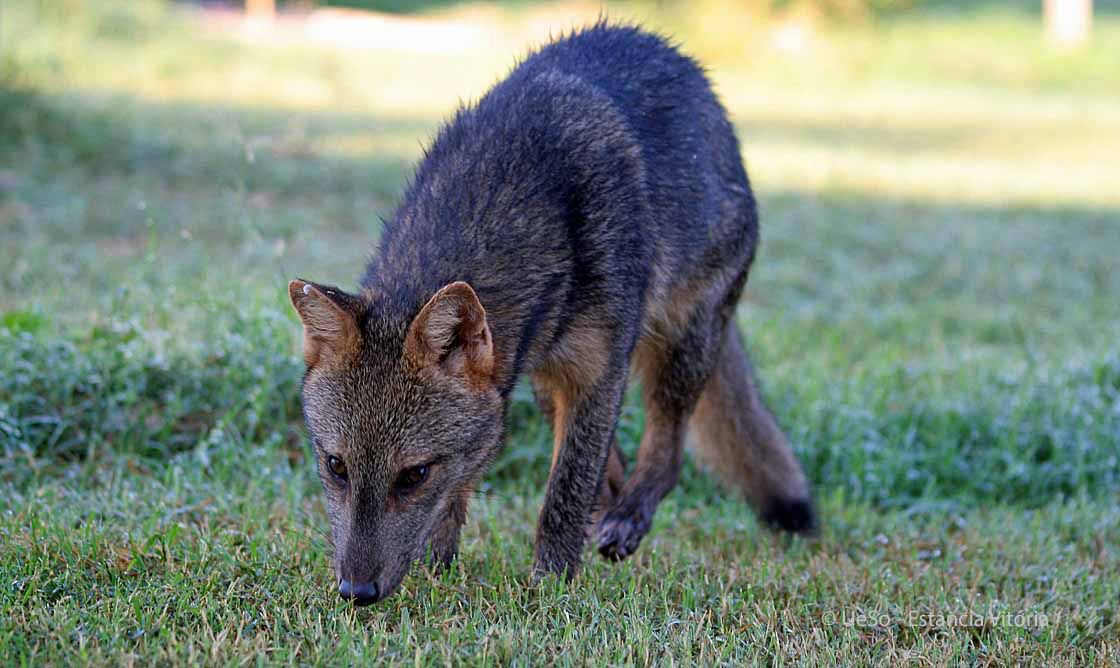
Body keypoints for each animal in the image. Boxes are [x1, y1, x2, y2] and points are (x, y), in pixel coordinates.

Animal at [288, 22, 815, 605]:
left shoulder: (596, 369)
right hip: (546, 380)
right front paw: (437, 571)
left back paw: (628, 516)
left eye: (414, 475)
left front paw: (550, 589)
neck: (508, 197)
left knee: (667, 453)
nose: (356, 591)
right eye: (336, 467)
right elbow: (487, 487)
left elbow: (564, 494)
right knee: (614, 467)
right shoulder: (544, 377)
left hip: (677, 352)